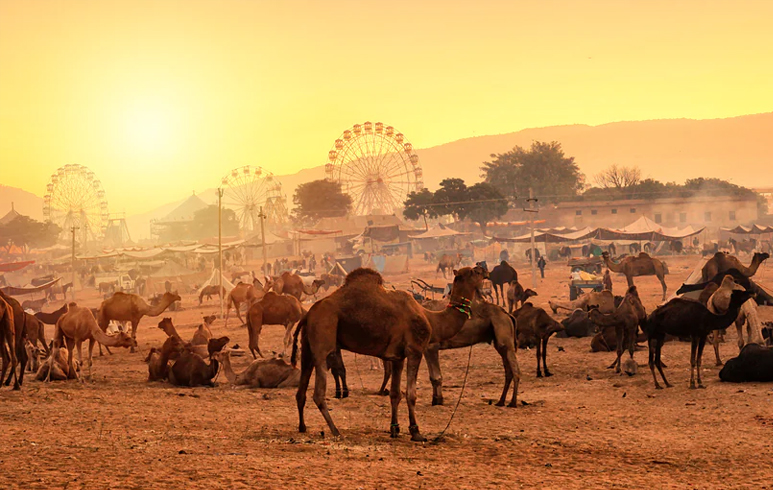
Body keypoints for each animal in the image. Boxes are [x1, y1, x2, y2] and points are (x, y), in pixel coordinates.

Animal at [290, 266, 482, 442]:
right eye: (476, 272)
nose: (485, 272)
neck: (430, 318)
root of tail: (308, 314)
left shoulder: (398, 357)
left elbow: (395, 394)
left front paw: (394, 429)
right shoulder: (415, 350)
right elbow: (411, 394)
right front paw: (415, 432)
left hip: (308, 347)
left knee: (301, 390)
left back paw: (302, 427)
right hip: (323, 338)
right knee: (318, 393)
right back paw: (336, 431)